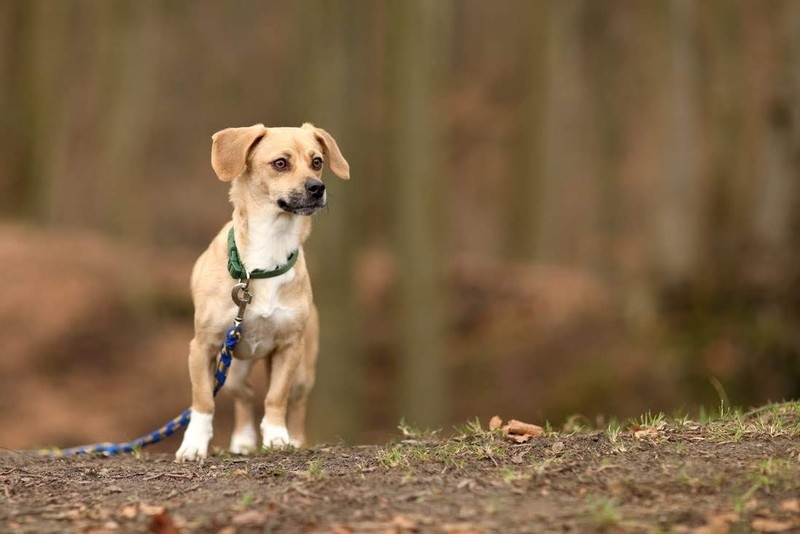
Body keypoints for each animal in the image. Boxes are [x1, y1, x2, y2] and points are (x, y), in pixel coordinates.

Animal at [175, 123, 350, 462]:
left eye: (318, 162)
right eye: (280, 163)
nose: (317, 188)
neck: (265, 258)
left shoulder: (289, 348)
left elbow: (275, 398)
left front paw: (278, 437)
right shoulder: (202, 347)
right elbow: (202, 401)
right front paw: (193, 445)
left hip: (303, 372)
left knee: (295, 403)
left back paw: (295, 438)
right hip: (232, 369)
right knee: (244, 395)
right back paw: (242, 440)